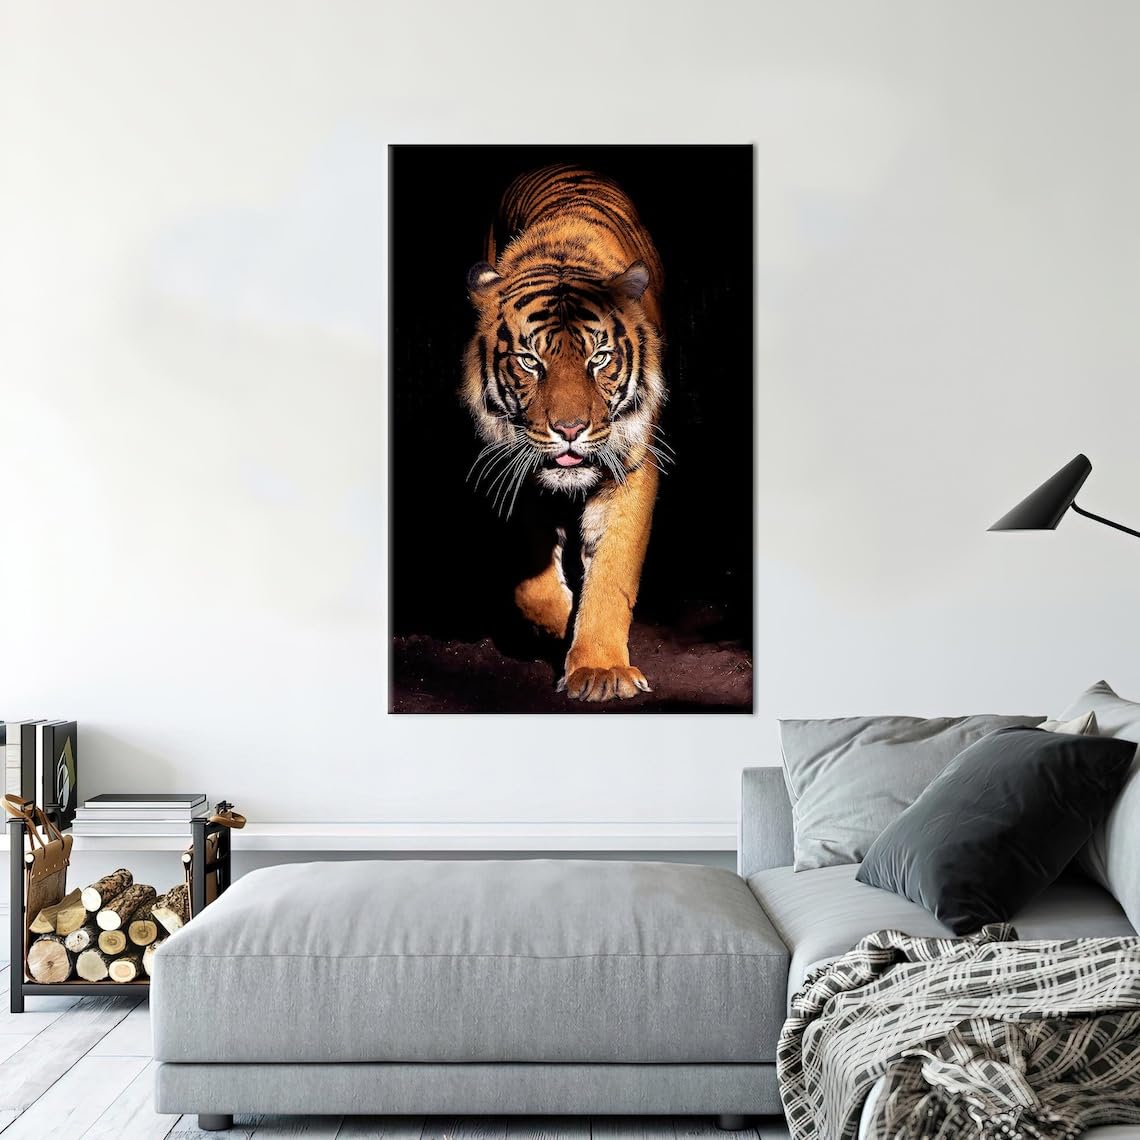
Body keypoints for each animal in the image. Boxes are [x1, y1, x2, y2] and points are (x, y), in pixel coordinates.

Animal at [462, 164, 669, 702]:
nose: (571, 429)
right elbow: (530, 579)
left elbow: (612, 571)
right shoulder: (515, 463)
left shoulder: (631, 465)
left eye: (600, 358)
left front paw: (599, 669)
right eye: (530, 362)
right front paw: (557, 625)